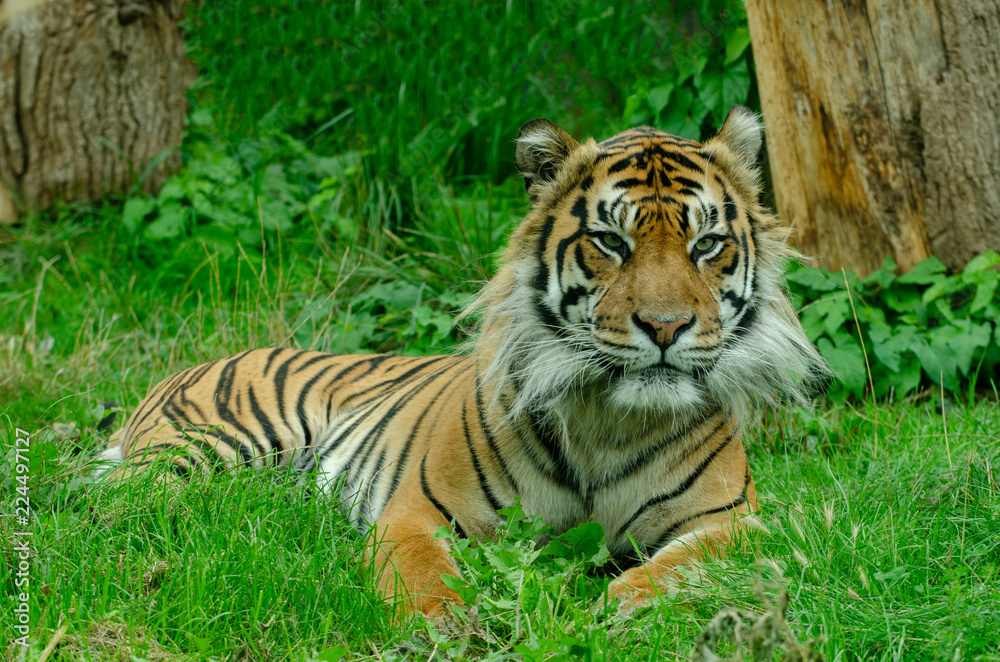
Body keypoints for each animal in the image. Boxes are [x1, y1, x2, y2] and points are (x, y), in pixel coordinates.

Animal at [100, 105, 824, 618]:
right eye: (610, 241)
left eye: (707, 244)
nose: (666, 326)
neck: (611, 421)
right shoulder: (418, 512)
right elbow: (424, 581)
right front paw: (450, 629)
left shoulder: (734, 522)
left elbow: (675, 572)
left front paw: (619, 610)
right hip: (213, 442)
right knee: (120, 501)